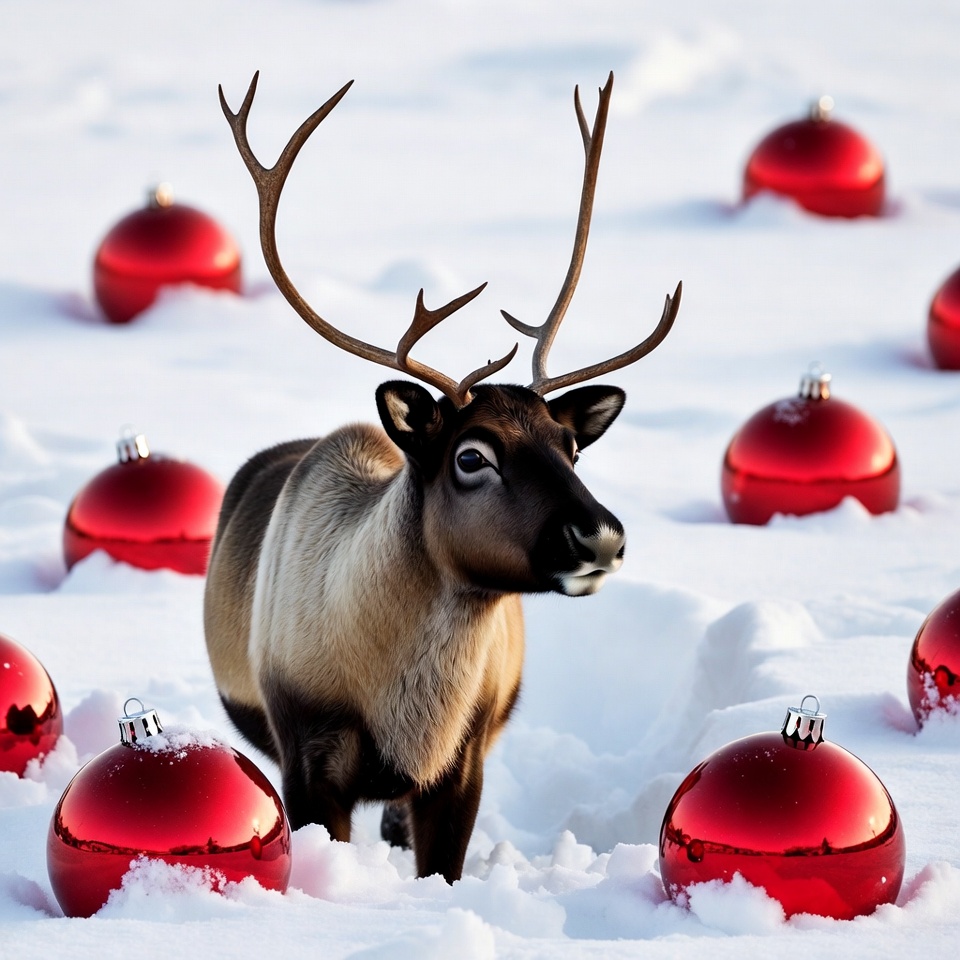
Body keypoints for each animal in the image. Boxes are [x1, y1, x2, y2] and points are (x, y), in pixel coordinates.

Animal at [204, 71, 681, 883]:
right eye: (470, 456)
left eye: (570, 445)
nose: (602, 535)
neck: (406, 714)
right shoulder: (307, 753)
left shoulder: (464, 760)